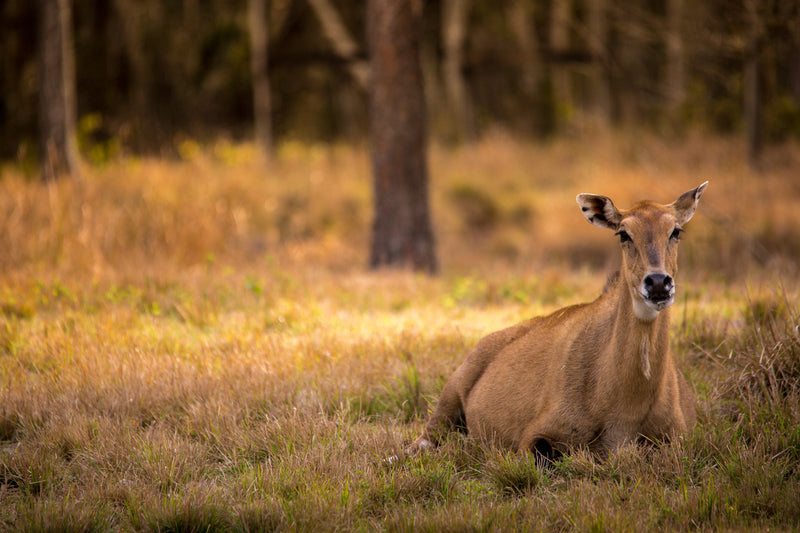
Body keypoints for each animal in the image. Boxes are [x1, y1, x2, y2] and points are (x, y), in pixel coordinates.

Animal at [410, 182, 707, 460]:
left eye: (675, 231)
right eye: (624, 233)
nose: (657, 283)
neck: (627, 403)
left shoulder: (677, 438)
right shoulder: (536, 436)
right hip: (448, 399)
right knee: (422, 442)